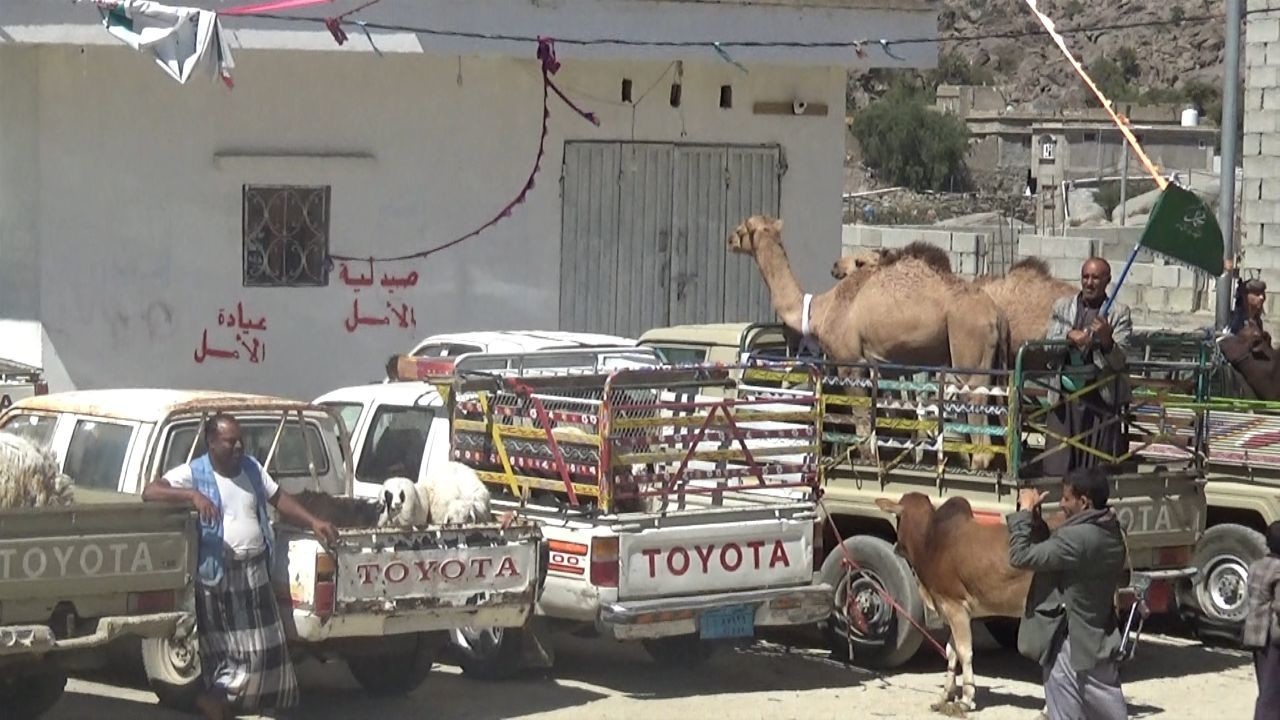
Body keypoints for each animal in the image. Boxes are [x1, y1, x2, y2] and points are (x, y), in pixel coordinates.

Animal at [732, 212, 1008, 468]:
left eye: (742, 228)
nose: (729, 240)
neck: (821, 309)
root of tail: (995, 312)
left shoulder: (850, 361)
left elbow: (861, 417)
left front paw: (867, 459)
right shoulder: (875, 365)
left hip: (968, 348)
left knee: (975, 400)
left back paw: (977, 465)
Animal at [875, 491, 1054, 712]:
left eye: (898, 517)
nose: (896, 547)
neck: (931, 540)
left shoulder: (955, 607)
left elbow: (964, 651)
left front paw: (967, 698)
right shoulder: (951, 610)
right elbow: (951, 652)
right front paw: (945, 696)